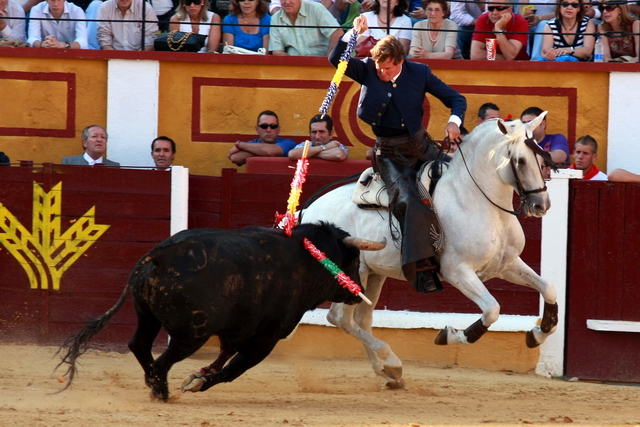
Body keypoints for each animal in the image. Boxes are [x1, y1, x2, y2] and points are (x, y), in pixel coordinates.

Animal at [56, 222, 384, 402]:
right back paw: (161, 391)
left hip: (147, 316)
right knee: (163, 361)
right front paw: (198, 382)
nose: (359, 291)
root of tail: (164, 253)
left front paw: (198, 375)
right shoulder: (267, 339)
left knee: (139, 344)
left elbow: (224, 355)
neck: (308, 259)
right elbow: (234, 368)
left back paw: (153, 382)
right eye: (354, 260)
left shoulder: (236, 328)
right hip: (192, 334)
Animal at [302, 112, 556, 390]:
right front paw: (449, 335)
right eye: (520, 160)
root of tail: (308, 210)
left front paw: (538, 333)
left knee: (361, 318)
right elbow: (492, 309)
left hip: (374, 273)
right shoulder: (458, 272)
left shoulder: (507, 264)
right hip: (351, 272)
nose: (541, 205)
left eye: (541, 157)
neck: (477, 200)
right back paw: (392, 362)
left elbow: (548, 288)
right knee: (340, 318)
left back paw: (387, 371)